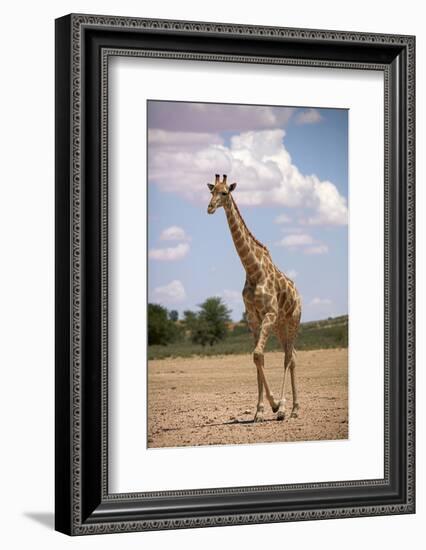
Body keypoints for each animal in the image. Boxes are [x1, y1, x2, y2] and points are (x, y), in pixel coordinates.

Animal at [207, 175, 302, 424]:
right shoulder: (253, 318)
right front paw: (259, 410)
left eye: (225, 193)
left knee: (288, 357)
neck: (252, 270)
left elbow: (258, 354)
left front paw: (276, 405)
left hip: (292, 321)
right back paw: (294, 407)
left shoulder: (268, 313)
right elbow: (257, 358)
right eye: (211, 191)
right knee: (293, 355)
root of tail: (298, 293)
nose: (209, 207)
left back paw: (288, 408)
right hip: (279, 326)